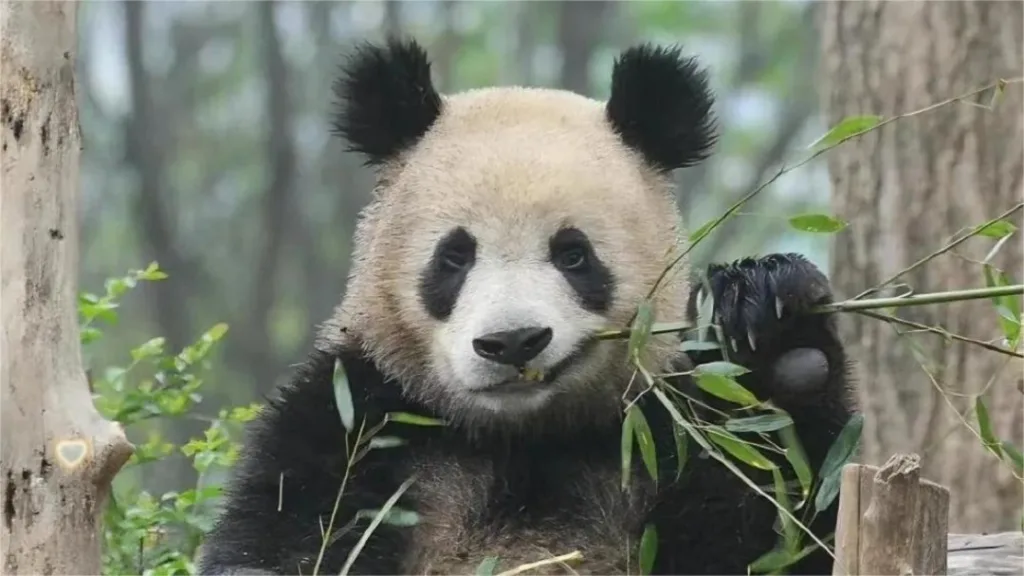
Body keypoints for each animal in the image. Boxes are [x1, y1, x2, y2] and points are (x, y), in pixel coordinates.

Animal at [197, 38, 856, 576]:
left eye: (573, 255)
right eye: (454, 257)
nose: (512, 342)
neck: (522, 437)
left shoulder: (660, 439)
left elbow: (781, 523)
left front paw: (776, 323)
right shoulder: (356, 421)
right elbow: (283, 534)